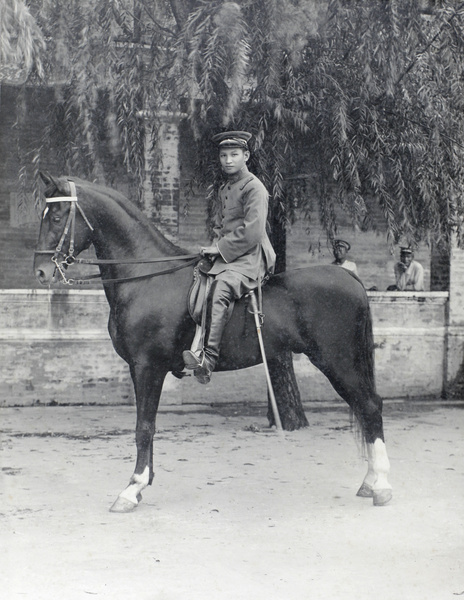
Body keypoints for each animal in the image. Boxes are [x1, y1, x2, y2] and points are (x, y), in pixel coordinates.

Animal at [33, 173, 392, 510]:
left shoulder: (147, 366)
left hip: (338, 362)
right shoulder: (143, 369)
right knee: (366, 408)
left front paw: (132, 489)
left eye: (57, 216)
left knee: (370, 406)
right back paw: (370, 482)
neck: (146, 279)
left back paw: (382, 487)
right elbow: (147, 426)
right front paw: (143, 482)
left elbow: (144, 427)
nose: (40, 272)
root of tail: (349, 277)